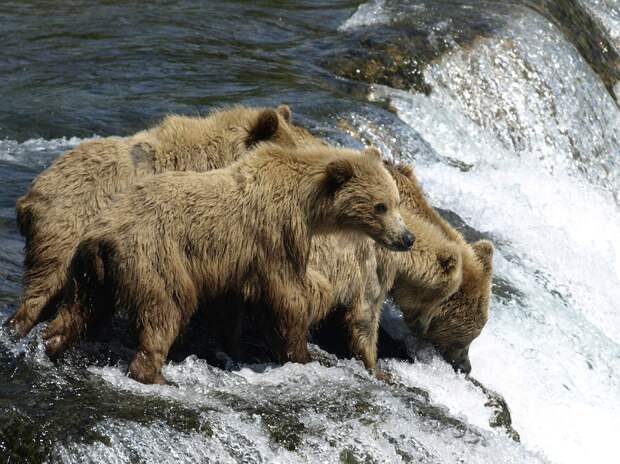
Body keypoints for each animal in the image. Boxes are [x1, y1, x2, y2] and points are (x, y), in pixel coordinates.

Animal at [42, 144, 412, 384]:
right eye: (380, 206)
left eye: (396, 202)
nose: (407, 238)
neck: (308, 204)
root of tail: (103, 234)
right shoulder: (276, 234)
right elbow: (289, 296)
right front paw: (302, 351)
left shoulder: (233, 262)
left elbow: (231, 306)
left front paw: (233, 347)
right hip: (154, 257)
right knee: (166, 308)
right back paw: (156, 375)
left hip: (91, 271)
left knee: (80, 309)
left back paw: (54, 345)